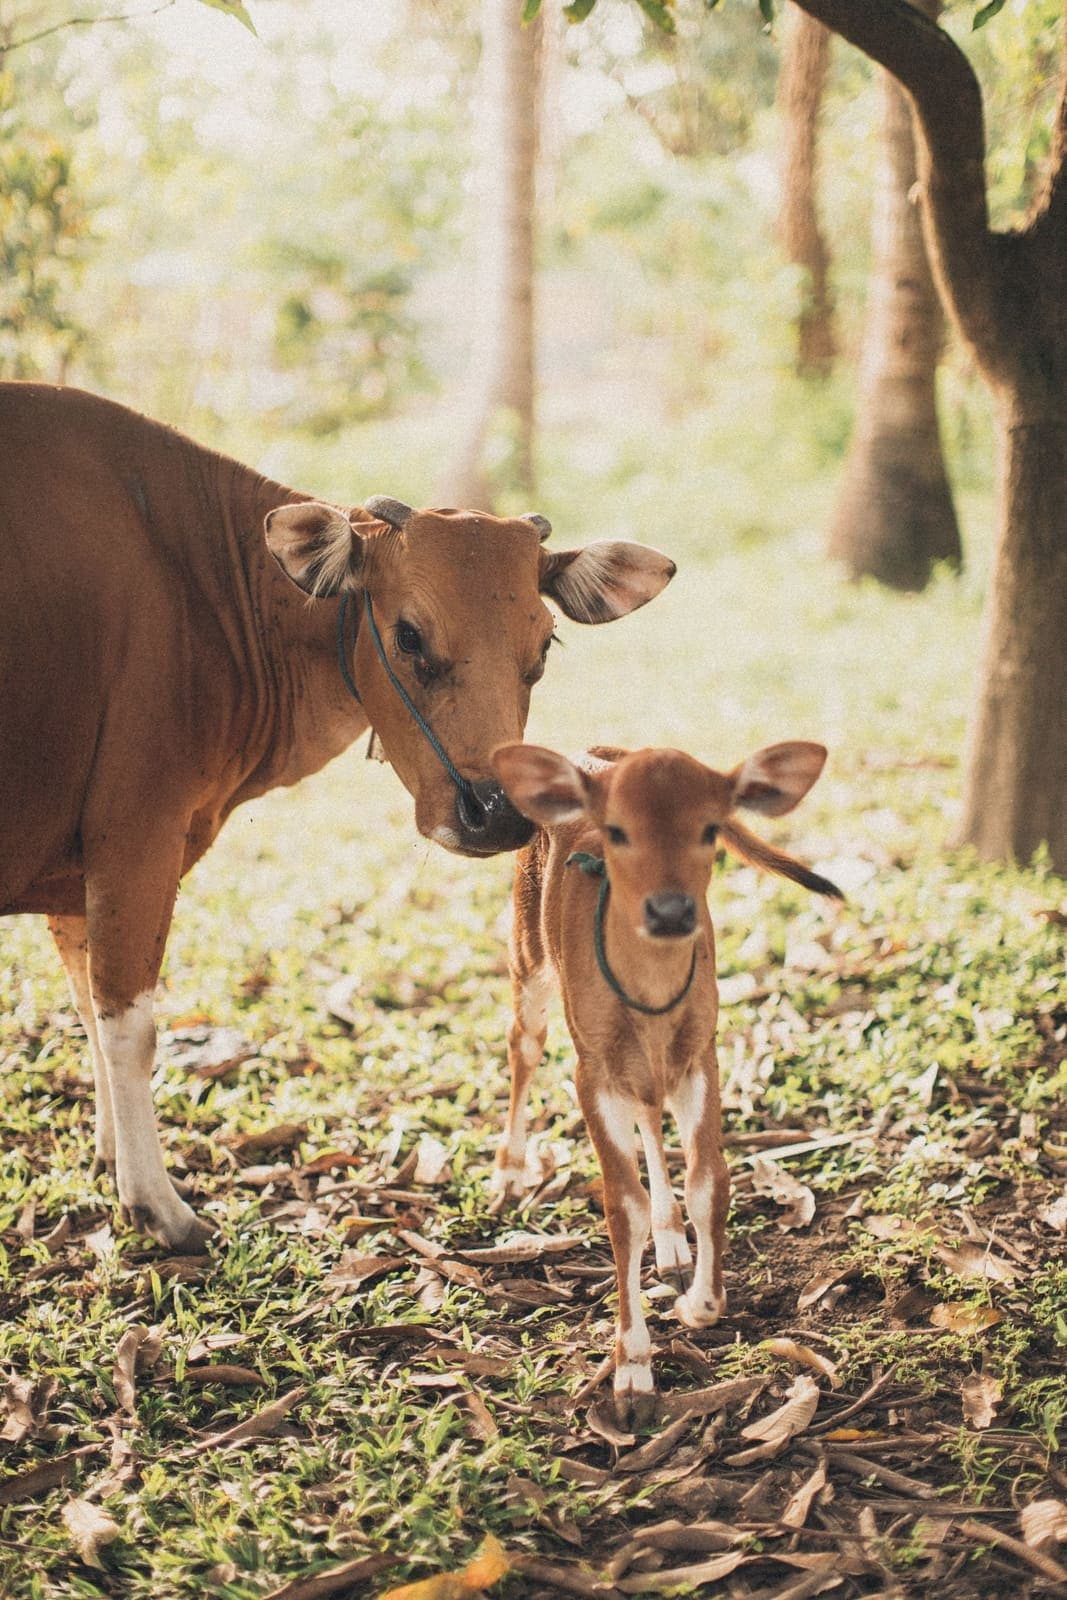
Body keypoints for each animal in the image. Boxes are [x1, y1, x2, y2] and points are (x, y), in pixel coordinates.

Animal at [0, 383, 675, 1252]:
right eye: (410, 635)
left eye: (545, 645)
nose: (494, 815)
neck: (206, 590)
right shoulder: (135, 836)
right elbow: (128, 1021)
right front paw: (156, 1203)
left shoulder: (77, 869)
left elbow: (87, 1006)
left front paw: (114, 1156)